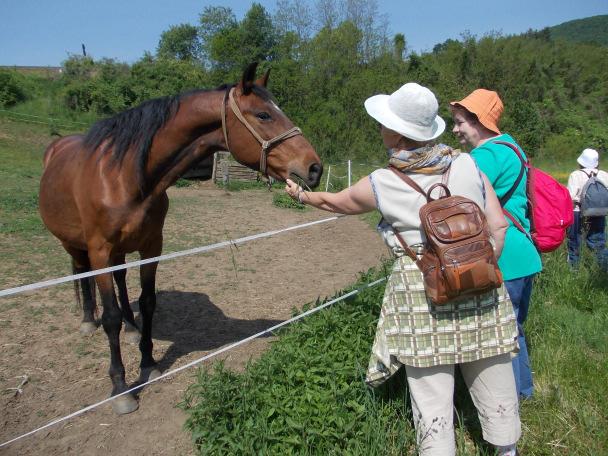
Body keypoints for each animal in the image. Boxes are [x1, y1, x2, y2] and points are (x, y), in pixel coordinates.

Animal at [38, 62, 324, 416]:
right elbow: (110, 317)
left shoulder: (151, 246)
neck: (125, 176)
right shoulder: (100, 251)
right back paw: (87, 320)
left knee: (121, 281)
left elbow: (148, 302)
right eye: (263, 115)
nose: (315, 168)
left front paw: (148, 361)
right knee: (82, 274)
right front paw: (121, 387)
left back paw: (131, 329)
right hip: (77, 246)